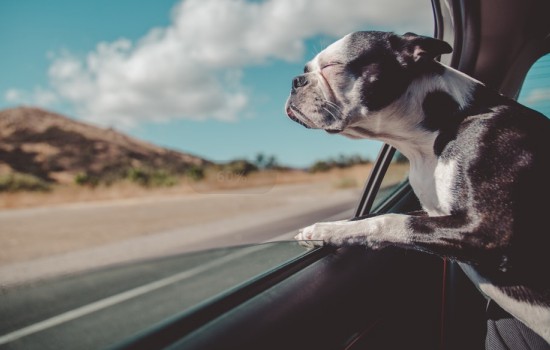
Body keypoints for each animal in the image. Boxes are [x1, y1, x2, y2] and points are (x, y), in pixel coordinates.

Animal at [288, 31, 550, 344]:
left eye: (332, 66)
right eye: (306, 69)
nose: (295, 81)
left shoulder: (487, 230)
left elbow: (387, 221)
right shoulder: (434, 215)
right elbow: (370, 217)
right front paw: (325, 229)